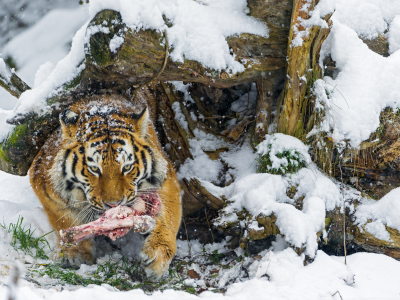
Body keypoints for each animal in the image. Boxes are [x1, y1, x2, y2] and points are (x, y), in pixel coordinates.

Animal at [28, 94, 182, 278]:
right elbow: (65, 221)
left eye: (127, 167)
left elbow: (168, 218)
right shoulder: (46, 187)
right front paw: (75, 253)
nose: (114, 205)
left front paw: (157, 256)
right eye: (94, 169)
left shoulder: (166, 179)